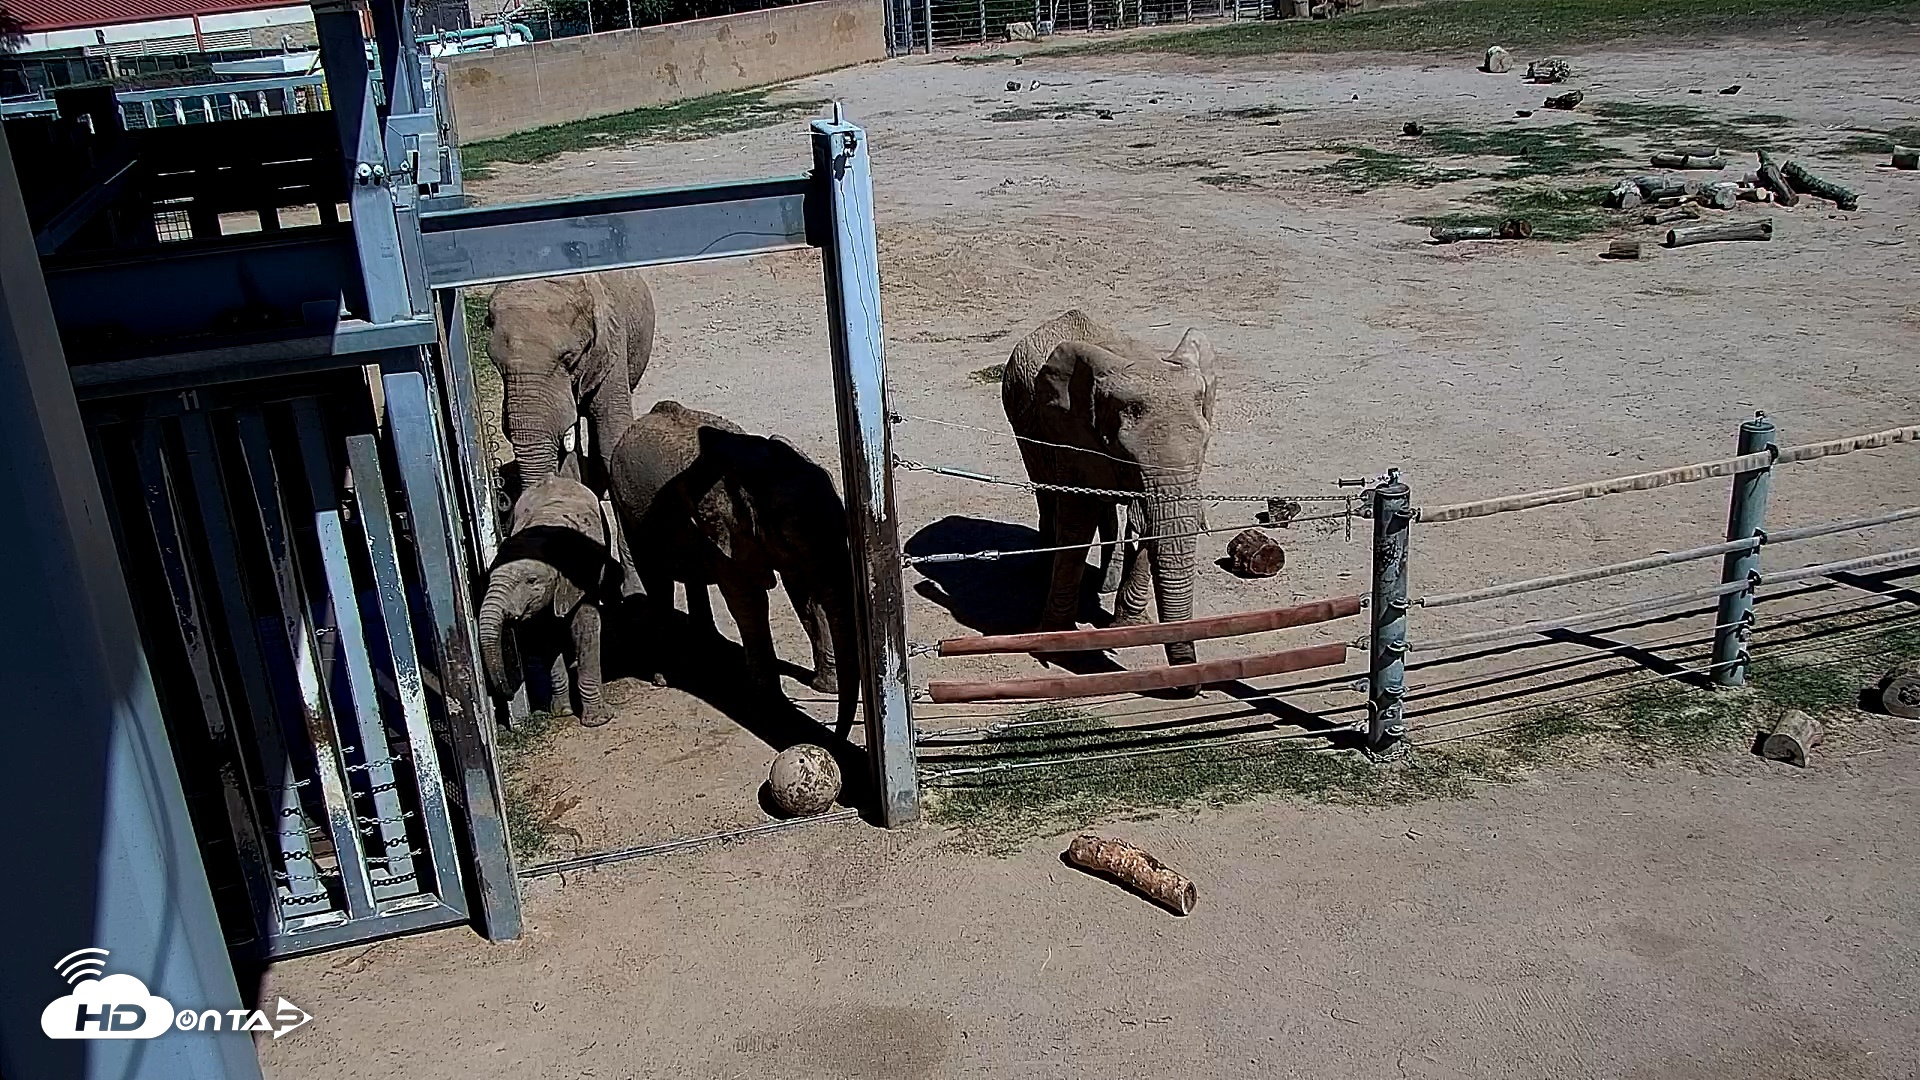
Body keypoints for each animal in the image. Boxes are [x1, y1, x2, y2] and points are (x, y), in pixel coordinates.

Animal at [479, 477, 621, 726]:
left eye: (532, 580)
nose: (507, 692)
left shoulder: (582, 576)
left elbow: (585, 628)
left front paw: (598, 721)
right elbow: (546, 637)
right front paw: (562, 712)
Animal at [607, 401, 858, 737]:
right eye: (788, 537)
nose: (837, 730)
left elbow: (804, 593)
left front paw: (827, 687)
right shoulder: (723, 531)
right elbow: (749, 601)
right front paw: (773, 712)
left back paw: (708, 646)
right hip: (626, 509)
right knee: (657, 580)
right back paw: (664, 675)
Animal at [1001, 309, 1218, 668]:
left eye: (1203, 451)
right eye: (1127, 460)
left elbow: (1146, 528)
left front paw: (1130, 626)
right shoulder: (1072, 434)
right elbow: (1078, 519)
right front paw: (1056, 641)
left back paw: (1106, 582)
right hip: (1021, 420)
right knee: (1045, 487)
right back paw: (1046, 564)